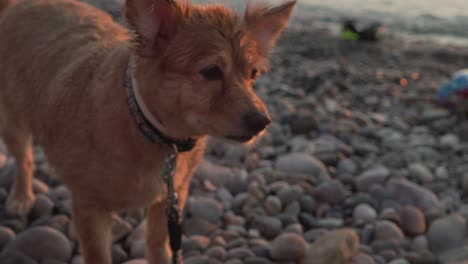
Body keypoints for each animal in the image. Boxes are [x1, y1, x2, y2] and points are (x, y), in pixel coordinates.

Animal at [0, 0, 294, 262]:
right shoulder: (89, 207)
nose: (263, 121)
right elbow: (98, 255)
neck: (145, 128)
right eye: (211, 71)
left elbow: (159, 246)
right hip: (12, 126)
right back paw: (21, 197)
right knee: (25, 160)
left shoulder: (170, 199)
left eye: (253, 74)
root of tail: (22, 5)